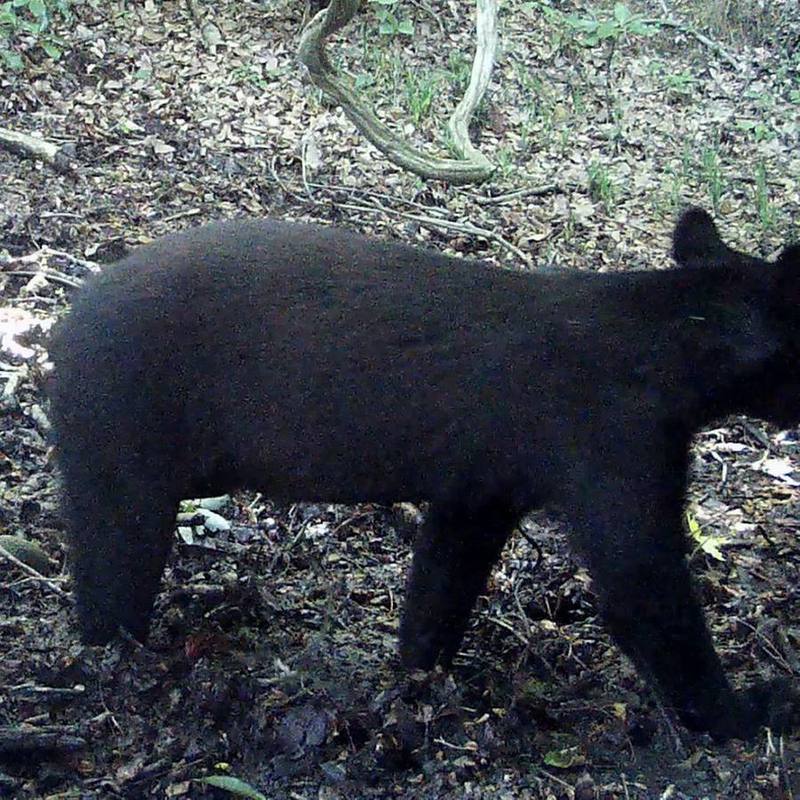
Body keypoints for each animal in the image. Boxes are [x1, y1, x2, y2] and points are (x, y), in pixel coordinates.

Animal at [47, 208, 800, 741]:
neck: (674, 336)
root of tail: (63, 323)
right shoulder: (613, 441)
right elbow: (644, 582)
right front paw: (754, 709)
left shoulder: (485, 482)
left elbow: (447, 571)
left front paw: (419, 673)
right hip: (127, 424)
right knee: (116, 552)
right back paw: (115, 657)